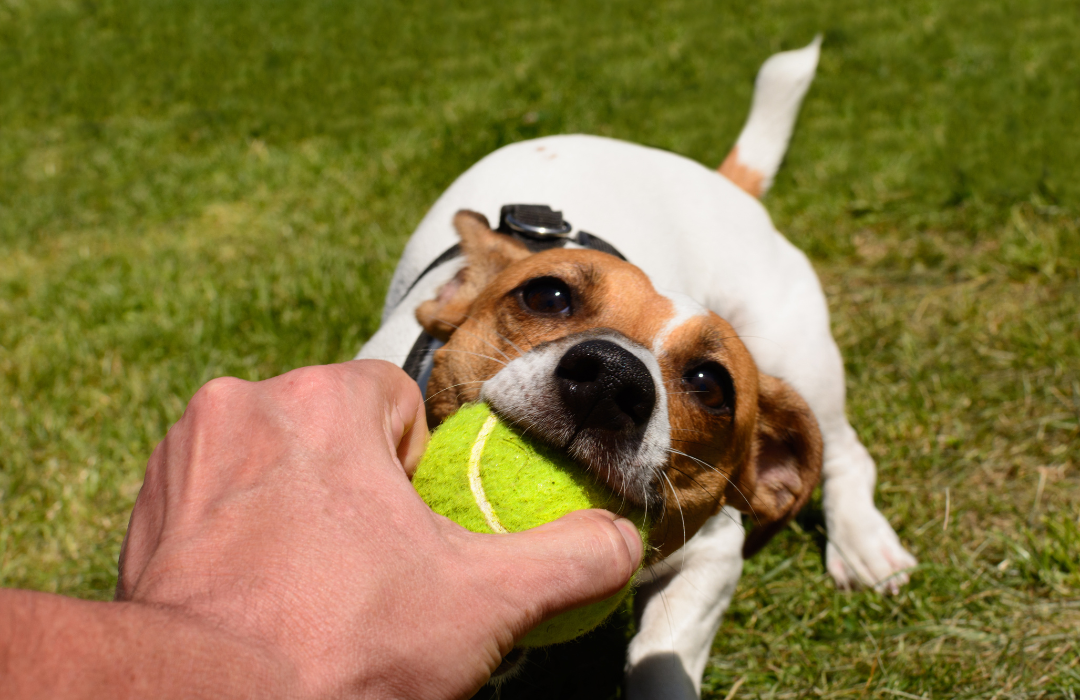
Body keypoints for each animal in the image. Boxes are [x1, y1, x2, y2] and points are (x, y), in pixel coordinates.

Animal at [358, 39, 915, 700]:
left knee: (847, 452)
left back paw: (864, 545)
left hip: (799, 355)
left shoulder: (715, 554)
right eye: (546, 295)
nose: (610, 379)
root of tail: (723, 181)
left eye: (711, 384)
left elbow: (660, 656)